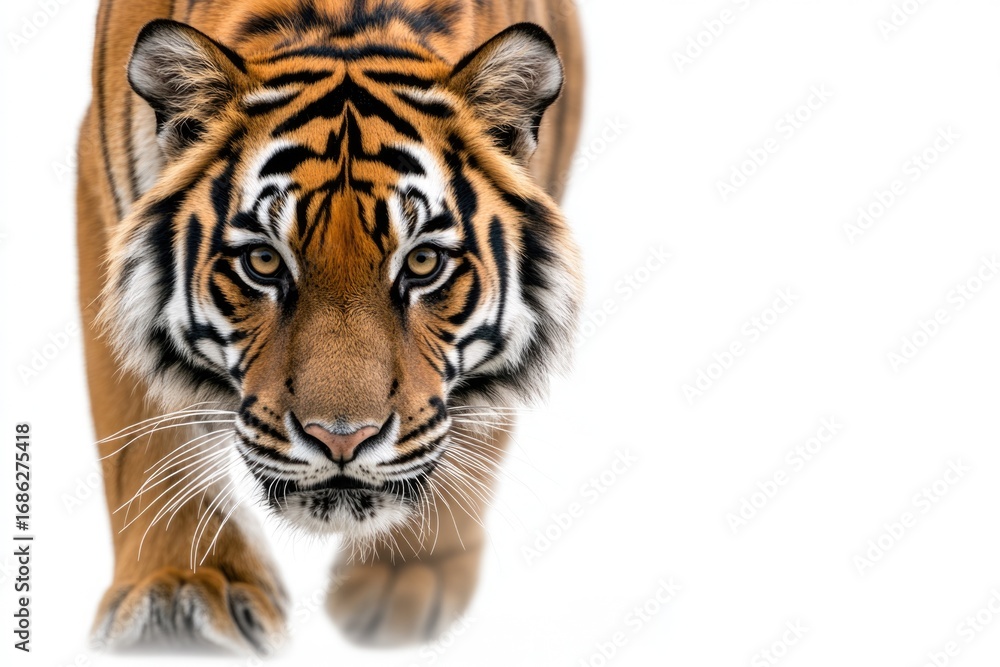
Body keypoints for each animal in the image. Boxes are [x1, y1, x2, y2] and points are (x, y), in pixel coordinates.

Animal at [77, 0, 583, 652]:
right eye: (263, 262)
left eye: (423, 262)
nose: (341, 439)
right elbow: (141, 432)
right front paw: (174, 589)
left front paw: (407, 571)